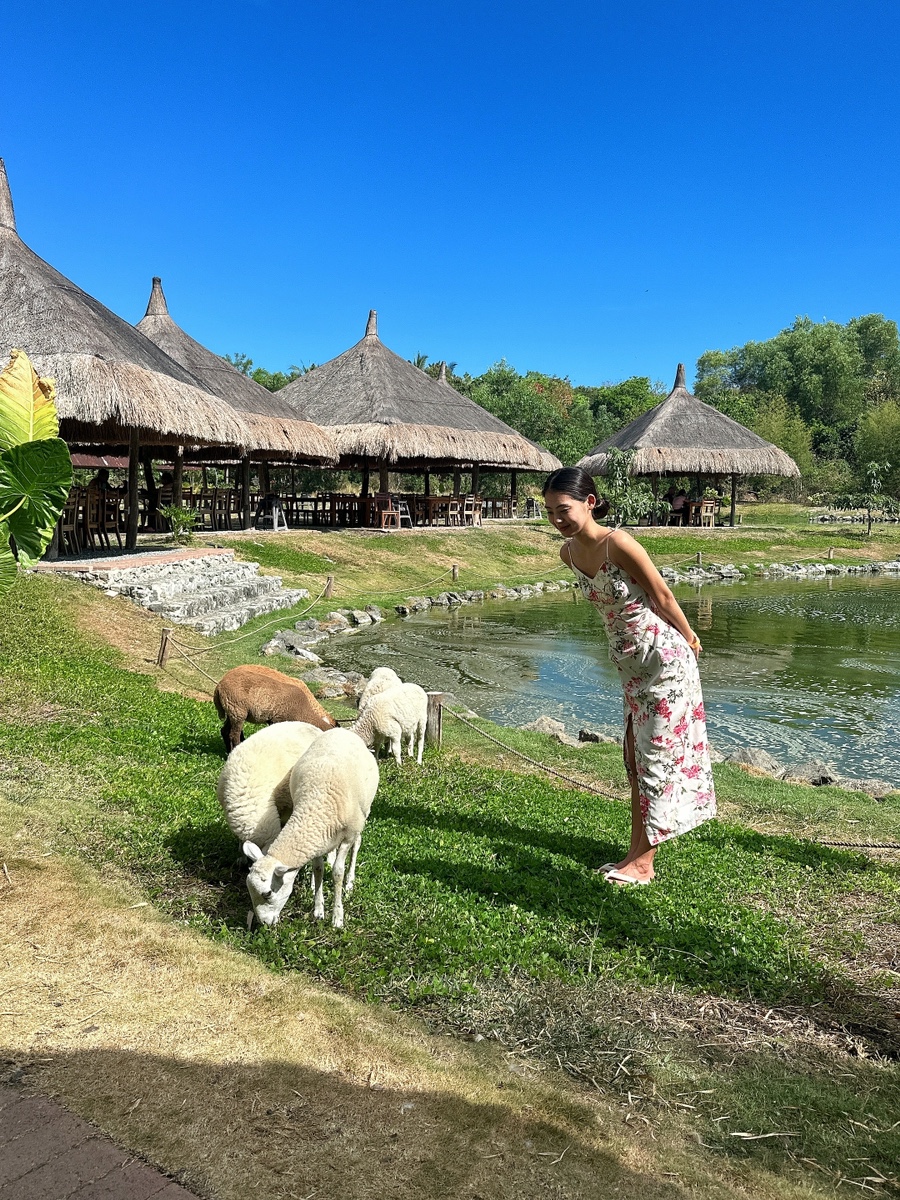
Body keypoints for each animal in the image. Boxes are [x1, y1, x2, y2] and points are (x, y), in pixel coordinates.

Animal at [244, 724, 379, 931]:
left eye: (267, 893)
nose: (264, 923)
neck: (316, 805)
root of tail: (343, 731)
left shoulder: (347, 837)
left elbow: (337, 872)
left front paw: (337, 917)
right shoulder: (317, 840)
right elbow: (318, 869)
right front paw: (318, 909)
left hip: (364, 814)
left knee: (357, 844)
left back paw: (350, 882)